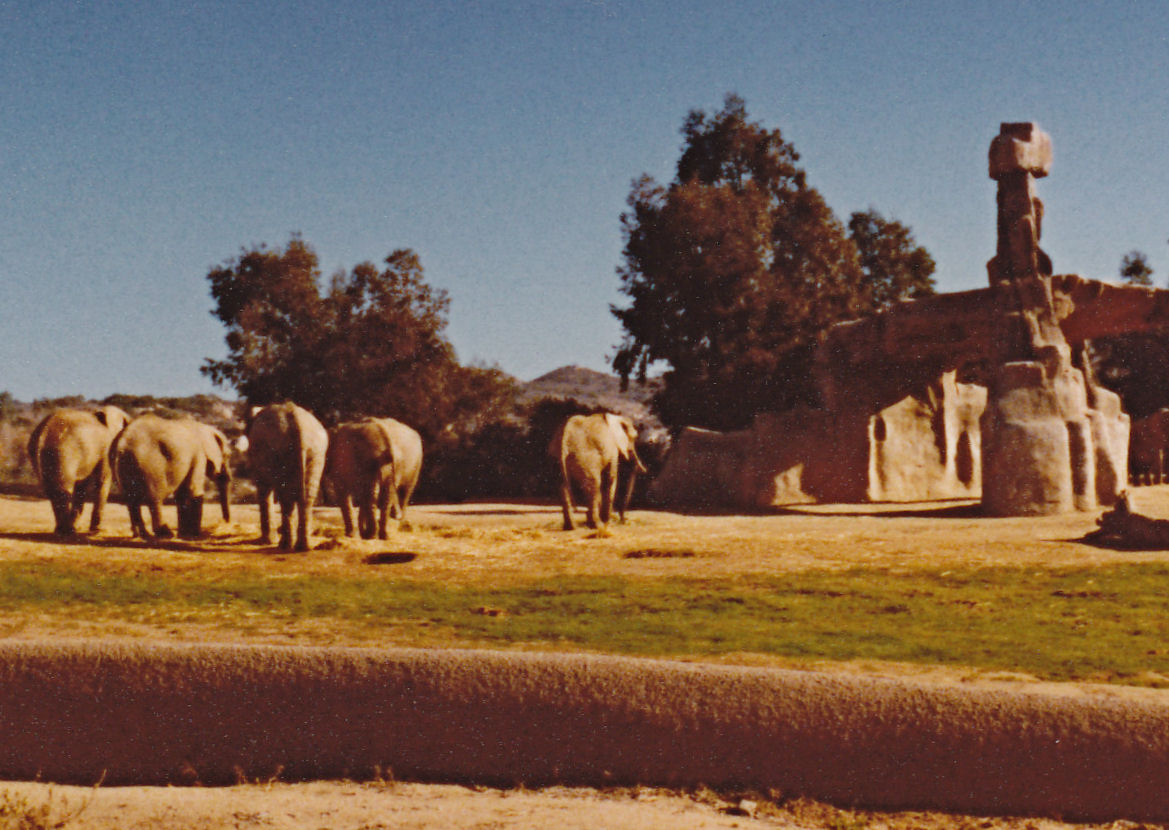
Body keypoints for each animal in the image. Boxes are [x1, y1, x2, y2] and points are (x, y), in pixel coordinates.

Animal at [27, 405, 130, 535]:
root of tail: (43, 432)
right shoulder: (106, 448)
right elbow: (102, 480)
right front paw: (99, 530)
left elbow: (82, 486)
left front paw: (78, 527)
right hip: (63, 452)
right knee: (64, 489)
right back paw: (67, 531)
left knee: (52, 489)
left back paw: (62, 530)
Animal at [246, 402, 329, 551]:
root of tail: (298, 422)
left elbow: (264, 488)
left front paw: (265, 542)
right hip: (316, 452)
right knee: (305, 496)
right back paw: (303, 547)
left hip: (279, 450)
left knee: (286, 498)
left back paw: (285, 545)